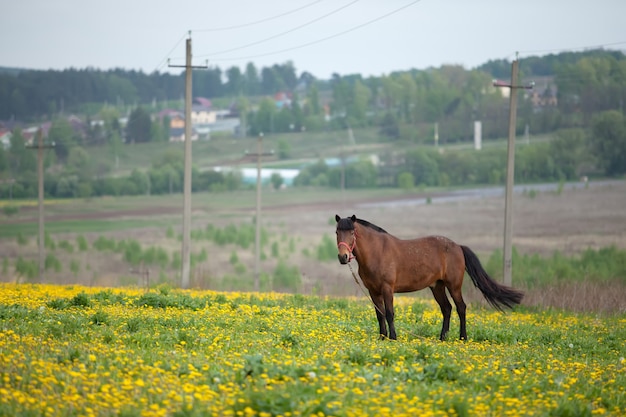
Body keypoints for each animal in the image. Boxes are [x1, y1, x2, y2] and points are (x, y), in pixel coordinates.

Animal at [336, 213, 520, 340]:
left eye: (352, 232)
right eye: (337, 231)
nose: (343, 257)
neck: (377, 252)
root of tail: (458, 247)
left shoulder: (387, 288)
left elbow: (389, 313)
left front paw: (393, 338)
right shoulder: (373, 291)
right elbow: (379, 314)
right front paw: (382, 338)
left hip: (454, 286)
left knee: (461, 308)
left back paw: (463, 338)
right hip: (437, 287)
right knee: (447, 309)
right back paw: (442, 338)